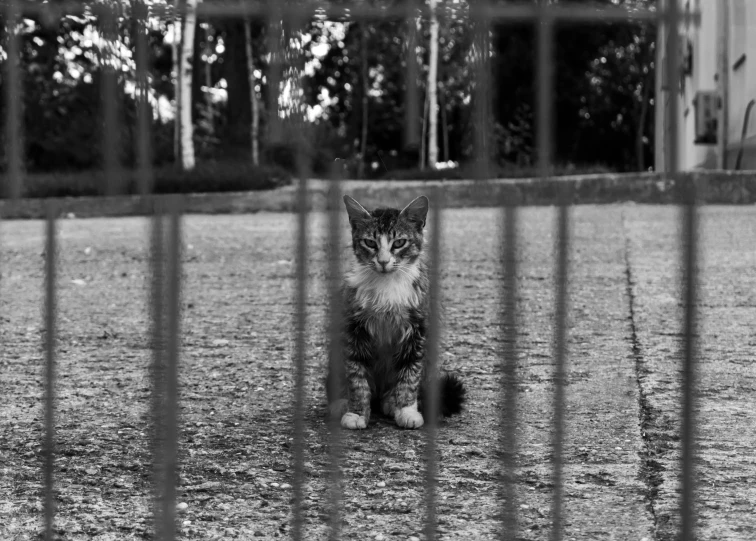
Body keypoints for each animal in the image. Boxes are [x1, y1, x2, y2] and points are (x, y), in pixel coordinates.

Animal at [326, 195, 464, 430]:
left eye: (399, 243)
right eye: (370, 243)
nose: (383, 261)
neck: (386, 285)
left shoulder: (417, 330)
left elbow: (410, 375)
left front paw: (406, 410)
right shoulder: (353, 330)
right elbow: (356, 376)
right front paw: (356, 412)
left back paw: (390, 401)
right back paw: (341, 402)